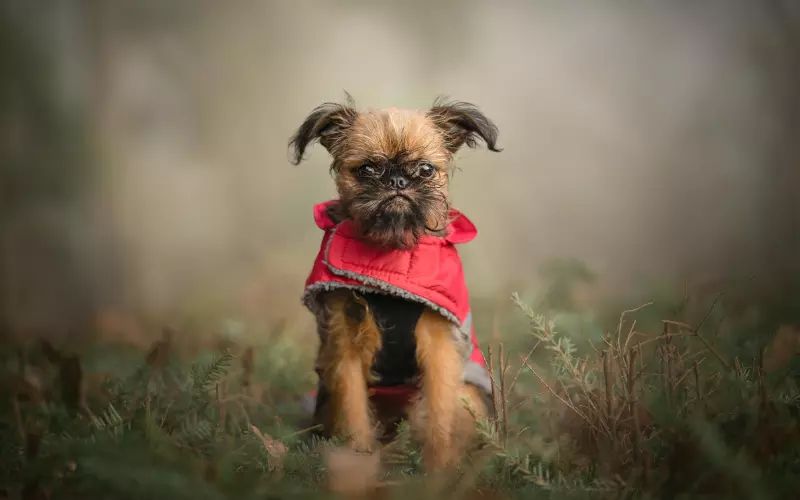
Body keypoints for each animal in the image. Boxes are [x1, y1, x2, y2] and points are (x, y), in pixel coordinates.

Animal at [288, 94, 500, 472]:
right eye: (367, 170)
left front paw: (439, 471)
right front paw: (356, 463)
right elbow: (353, 412)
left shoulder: (440, 350)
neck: (391, 258)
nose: (398, 181)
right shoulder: (344, 351)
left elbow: (440, 415)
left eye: (426, 170)